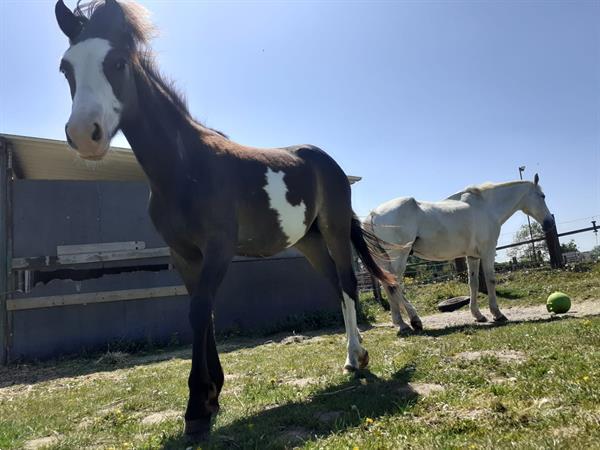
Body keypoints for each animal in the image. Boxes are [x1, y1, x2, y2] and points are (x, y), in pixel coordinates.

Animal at [54, 0, 396, 442]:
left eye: (117, 62)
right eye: (66, 68)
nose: (84, 135)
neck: (186, 167)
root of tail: (327, 162)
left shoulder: (218, 249)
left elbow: (200, 311)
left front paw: (197, 408)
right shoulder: (184, 255)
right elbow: (205, 313)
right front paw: (212, 395)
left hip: (335, 230)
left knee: (350, 283)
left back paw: (356, 358)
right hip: (308, 241)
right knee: (335, 285)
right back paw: (353, 357)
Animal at [360, 174, 552, 332]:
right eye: (542, 196)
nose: (549, 222)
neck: (486, 206)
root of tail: (373, 214)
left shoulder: (472, 256)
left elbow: (473, 283)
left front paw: (478, 315)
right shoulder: (488, 252)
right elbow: (490, 280)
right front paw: (497, 314)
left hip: (385, 259)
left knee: (388, 285)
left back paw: (401, 323)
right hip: (399, 257)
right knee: (395, 285)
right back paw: (414, 321)